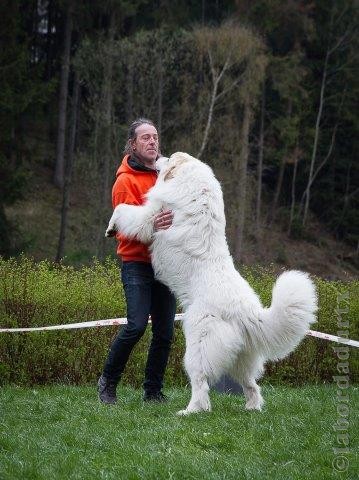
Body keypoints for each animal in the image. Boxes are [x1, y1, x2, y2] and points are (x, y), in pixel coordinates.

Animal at [106, 155, 318, 416]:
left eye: (168, 158)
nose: (157, 158)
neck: (197, 190)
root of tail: (249, 312)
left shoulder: (150, 216)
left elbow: (123, 210)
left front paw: (110, 228)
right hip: (240, 359)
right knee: (252, 385)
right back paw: (252, 408)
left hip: (198, 346)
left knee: (201, 384)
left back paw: (190, 411)